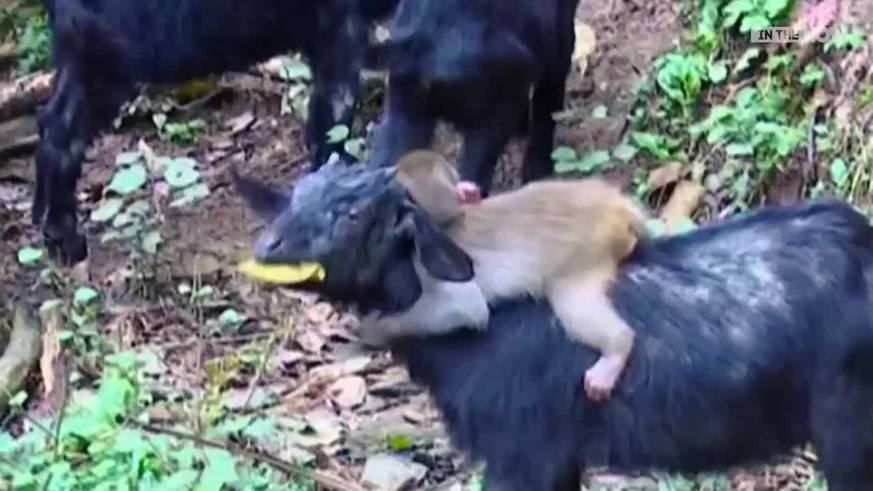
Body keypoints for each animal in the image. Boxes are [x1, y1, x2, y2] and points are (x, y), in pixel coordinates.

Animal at [32, 0, 396, 266]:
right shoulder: (341, 26)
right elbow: (335, 118)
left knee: (49, 123)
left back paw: (41, 222)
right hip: (108, 62)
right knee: (63, 137)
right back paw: (65, 242)